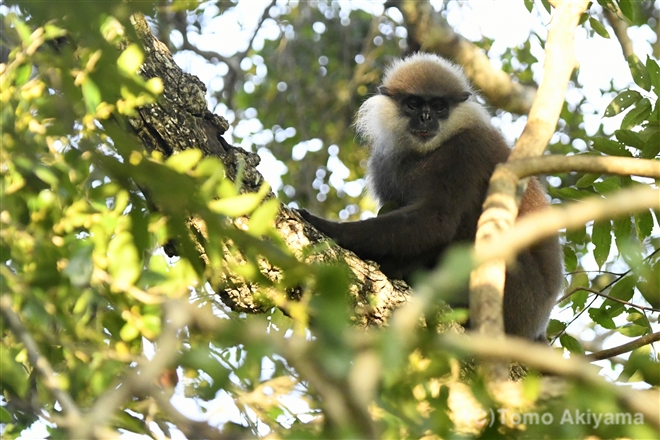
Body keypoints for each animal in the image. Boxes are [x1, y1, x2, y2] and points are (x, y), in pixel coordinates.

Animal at [298, 52, 564, 344]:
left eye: (438, 106)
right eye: (413, 104)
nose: (425, 117)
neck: (430, 151)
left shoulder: (467, 149)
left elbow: (436, 221)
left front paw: (326, 227)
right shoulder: (384, 161)